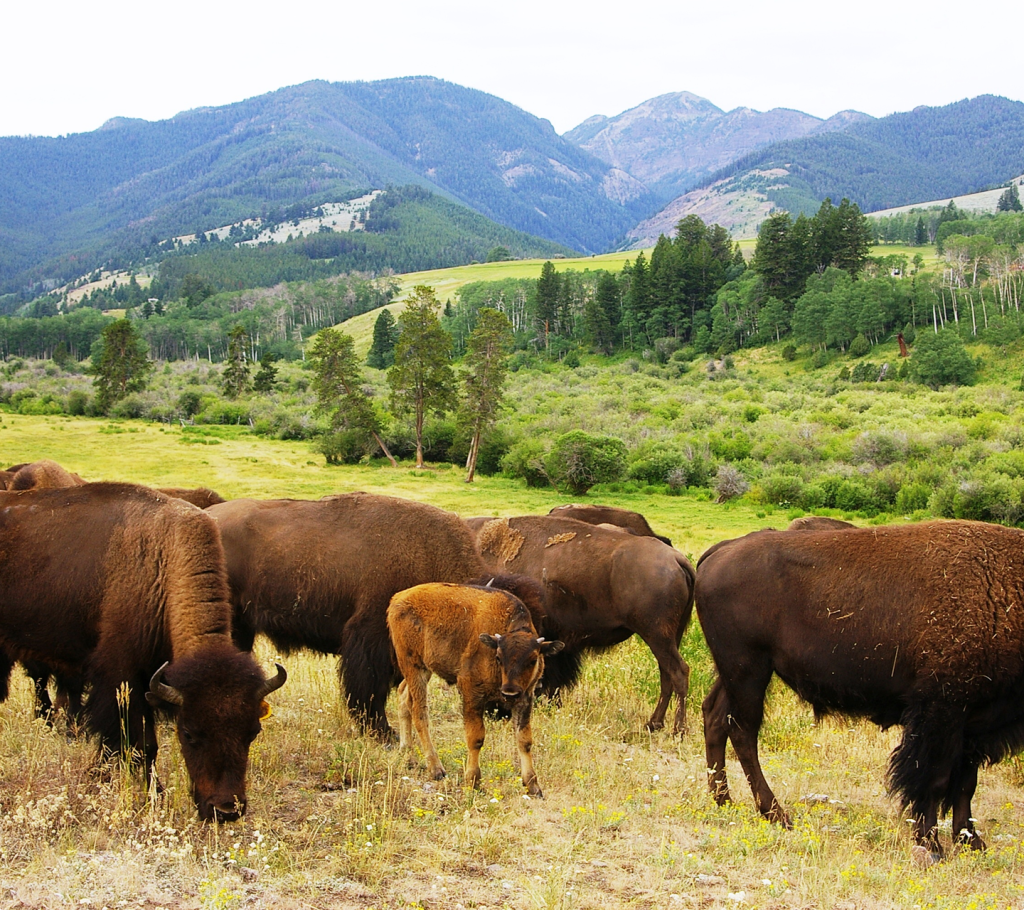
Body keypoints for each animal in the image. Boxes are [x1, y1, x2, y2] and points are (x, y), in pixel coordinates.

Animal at [0, 482, 286, 821]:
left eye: (252, 731)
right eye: (188, 732)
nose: (226, 809)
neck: (161, 562)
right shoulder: (122, 679)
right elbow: (140, 743)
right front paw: (154, 795)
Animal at [388, 582, 564, 796]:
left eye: (533, 660)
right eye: (498, 657)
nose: (509, 692)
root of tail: (397, 598)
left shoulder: (524, 698)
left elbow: (524, 740)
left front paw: (533, 786)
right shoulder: (471, 693)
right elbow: (476, 738)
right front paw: (473, 781)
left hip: (423, 668)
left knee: (404, 697)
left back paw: (409, 757)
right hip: (414, 666)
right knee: (419, 713)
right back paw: (436, 769)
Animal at [470, 515, 696, 734]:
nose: (495, 712)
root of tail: (677, 559)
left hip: (657, 635)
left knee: (679, 672)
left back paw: (678, 730)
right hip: (670, 637)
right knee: (666, 675)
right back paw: (653, 724)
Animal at [695, 520, 1024, 859]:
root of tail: (722, 550)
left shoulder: (976, 723)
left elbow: (965, 785)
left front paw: (972, 841)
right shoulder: (942, 713)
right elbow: (934, 779)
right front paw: (931, 843)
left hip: (736, 674)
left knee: (716, 717)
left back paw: (724, 801)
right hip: (749, 670)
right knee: (743, 731)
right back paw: (777, 814)